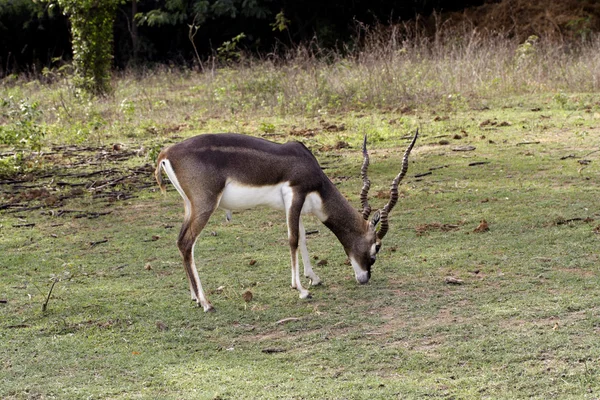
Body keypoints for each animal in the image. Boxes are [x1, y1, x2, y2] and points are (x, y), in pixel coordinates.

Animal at [155, 130, 418, 310]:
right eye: (377, 247)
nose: (364, 278)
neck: (308, 166)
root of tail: (167, 153)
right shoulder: (295, 193)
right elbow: (292, 240)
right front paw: (301, 290)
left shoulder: (295, 205)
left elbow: (302, 239)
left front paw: (314, 279)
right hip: (205, 205)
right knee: (186, 243)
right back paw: (206, 302)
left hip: (189, 206)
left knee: (181, 242)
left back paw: (194, 296)